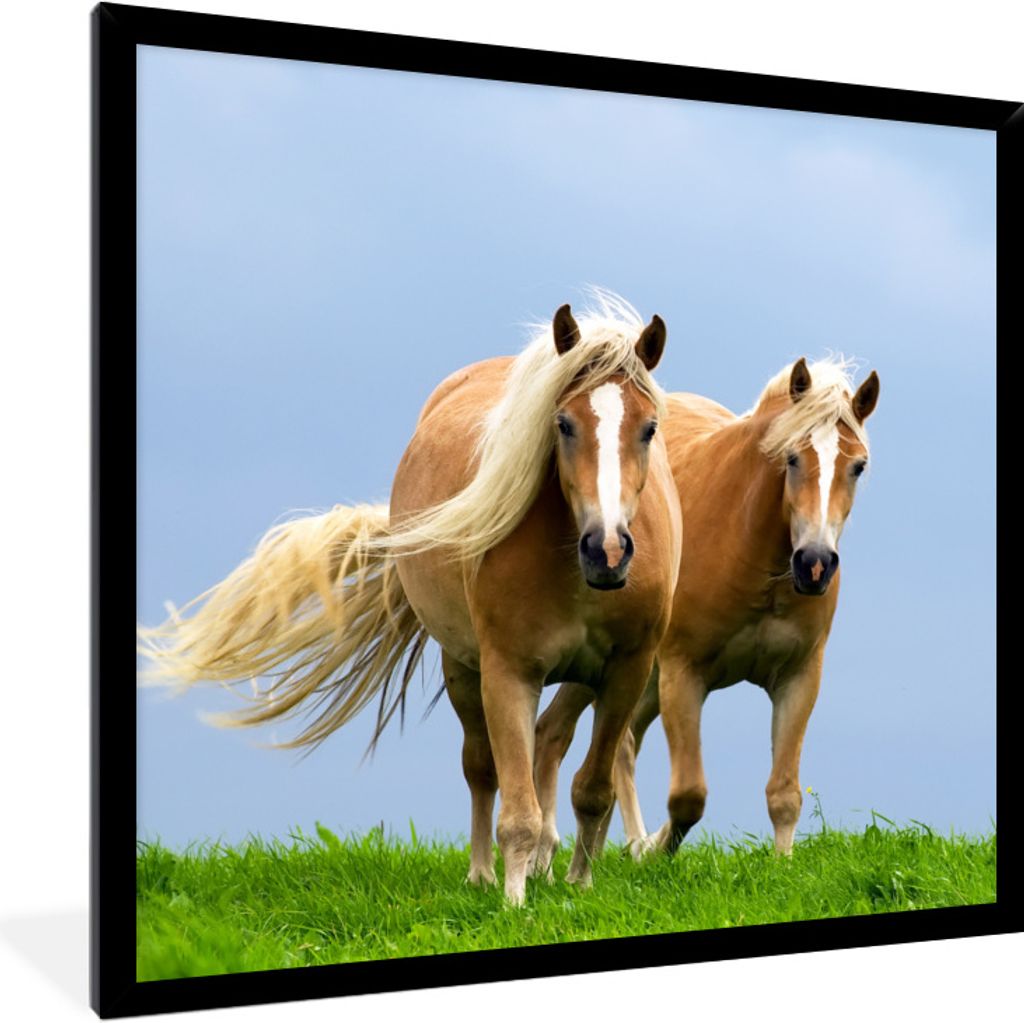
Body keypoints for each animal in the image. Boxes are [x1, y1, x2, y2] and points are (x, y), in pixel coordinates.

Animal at [138, 293, 683, 905]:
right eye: (563, 424)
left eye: (649, 428)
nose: (607, 550)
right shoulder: (508, 672)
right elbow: (514, 806)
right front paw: (515, 903)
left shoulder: (625, 673)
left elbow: (593, 790)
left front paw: (579, 886)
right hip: (462, 666)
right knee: (481, 768)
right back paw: (484, 873)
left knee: (550, 746)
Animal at [533, 356, 879, 858]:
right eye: (792, 458)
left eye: (858, 466)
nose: (814, 564)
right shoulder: (683, 674)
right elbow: (688, 796)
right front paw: (655, 851)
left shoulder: (799, 677)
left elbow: (784, 794)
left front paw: (782, 862)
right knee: (567, 736)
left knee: (608, 742)